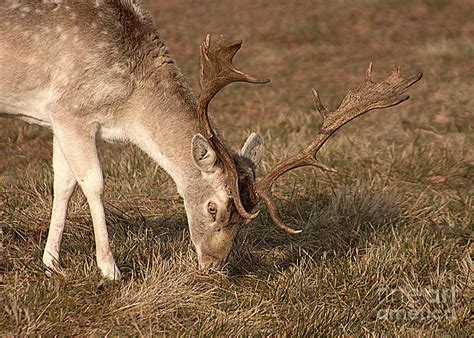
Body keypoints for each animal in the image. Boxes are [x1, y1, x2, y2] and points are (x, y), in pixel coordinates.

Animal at [0, 0, 422, 280]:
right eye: (213, 207)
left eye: (246, 220)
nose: (213, 267)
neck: (128, 109)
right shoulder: (70, 108)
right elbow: (93, 182)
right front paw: (110, 270)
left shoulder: (59, 119)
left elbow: (63, 182)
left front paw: (51, 263)